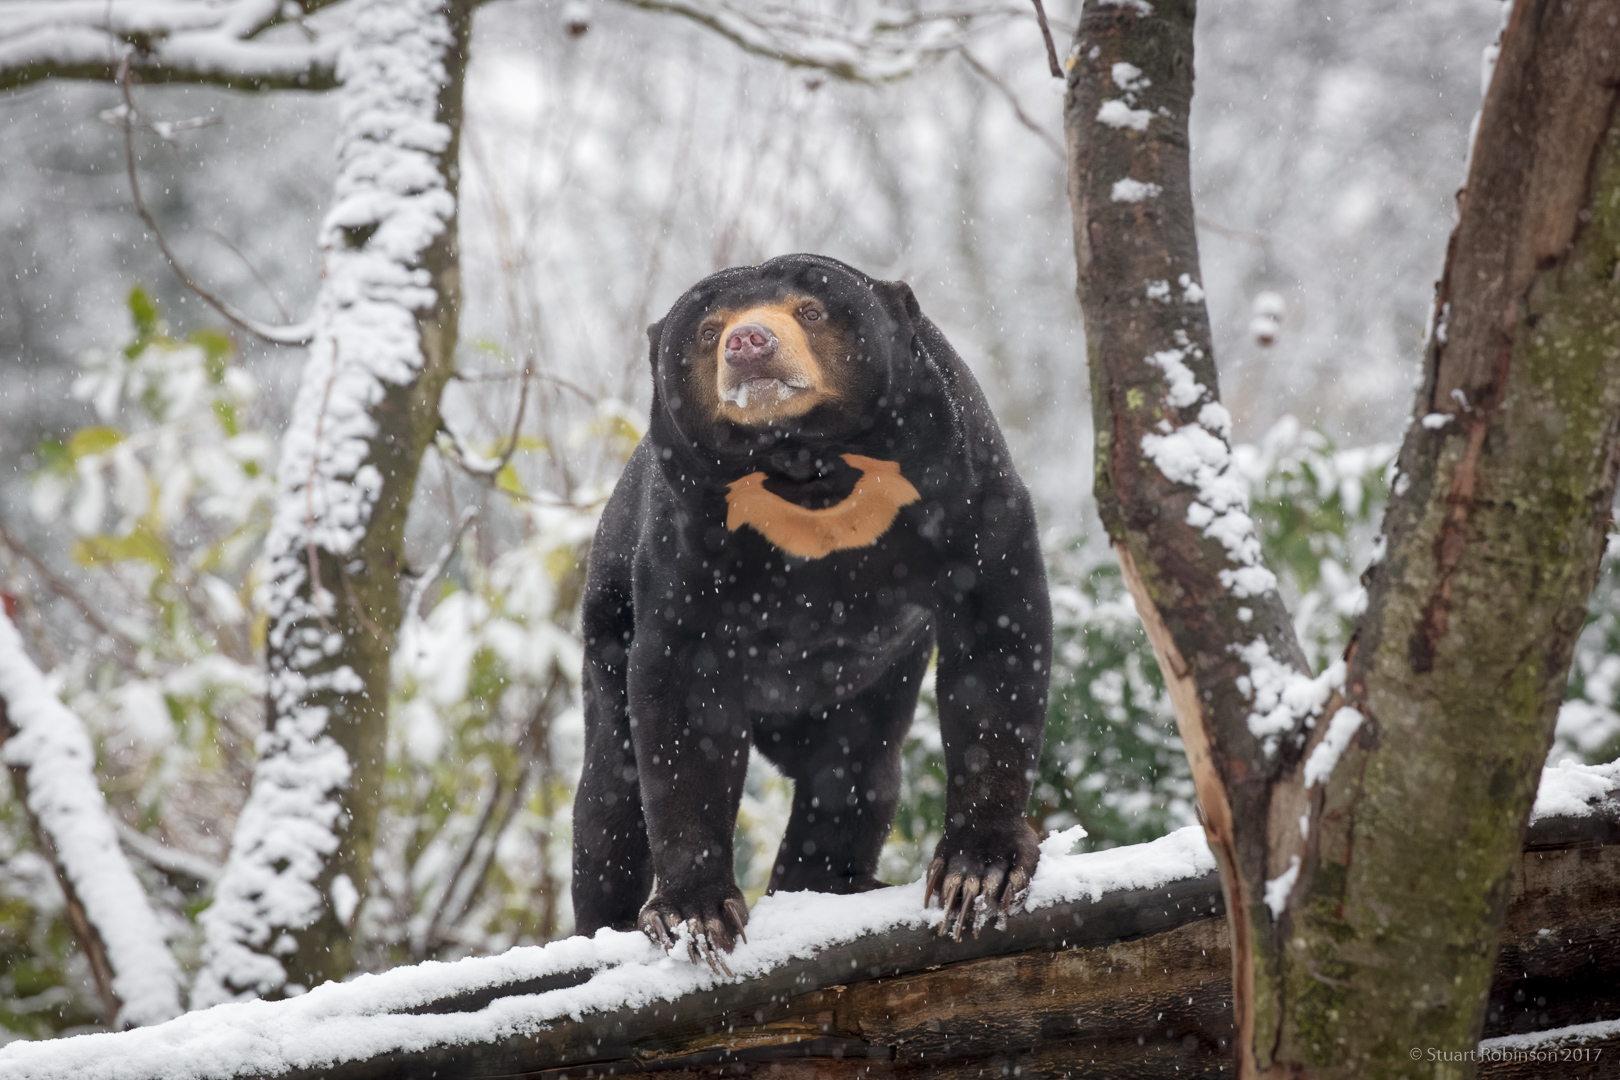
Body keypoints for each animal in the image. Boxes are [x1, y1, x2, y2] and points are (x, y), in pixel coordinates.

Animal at [571, 254, 1051, 970]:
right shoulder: (685, 540)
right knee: (609, 793)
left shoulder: (965, 482)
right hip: (606, 623)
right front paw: (695, 914)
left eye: (811, 310)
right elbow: (680, 705)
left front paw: (978, 873)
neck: (806, 471)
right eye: (708, 330)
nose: (748, 342)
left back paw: (832, 884)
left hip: (872, 686)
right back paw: (601, 930)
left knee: (856, 773)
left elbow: (997, 637)